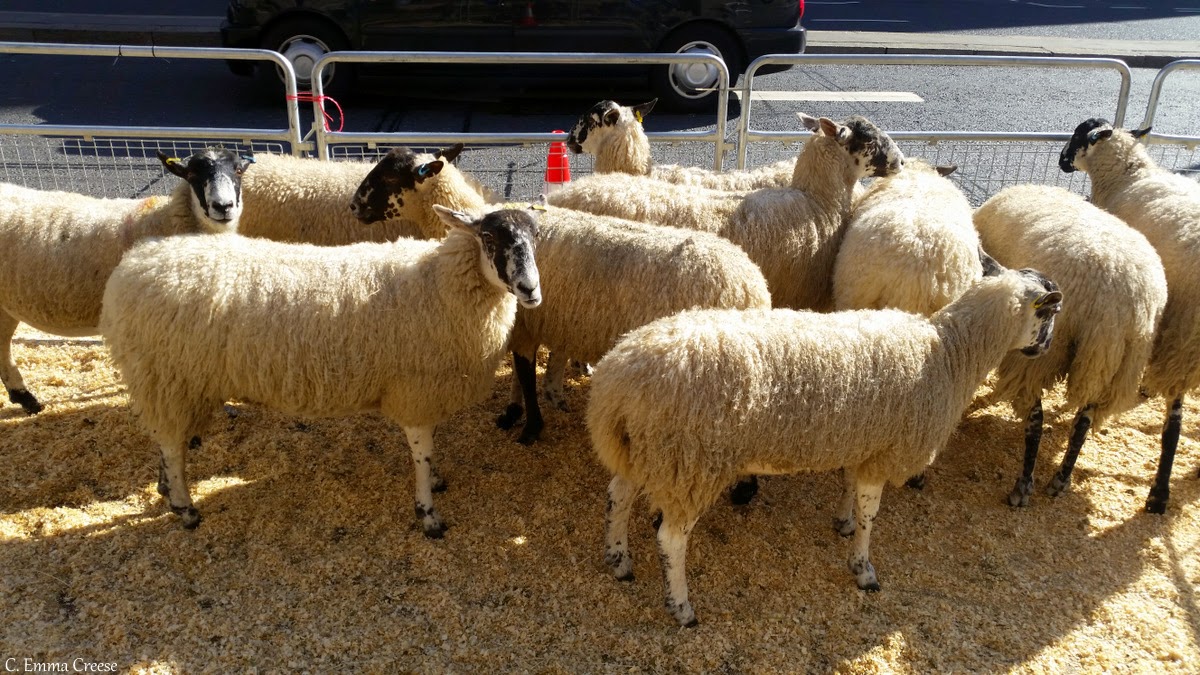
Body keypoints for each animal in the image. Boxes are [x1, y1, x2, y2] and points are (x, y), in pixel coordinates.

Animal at [98, 206, 542, 536]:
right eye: (489, 238)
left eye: (536, 239)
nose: (530, 290)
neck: (439, 283)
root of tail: (133, 263)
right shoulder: (413, 395)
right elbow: (423, 455)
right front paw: (428, 514)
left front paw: (433, 487)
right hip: (165, 375)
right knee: (172, 445)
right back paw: (186, 508)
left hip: (176, 382)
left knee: (166, 438)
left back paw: (166, 489)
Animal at [350, 146, 773, 445]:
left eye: (390, 176)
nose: (354, 206)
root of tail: (752, 285)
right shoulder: (527, 324)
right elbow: (521, 377)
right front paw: (513, 412)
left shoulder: (525, 327)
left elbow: (525, 377)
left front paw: (529, 427)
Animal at [587, 264, 1062, 626]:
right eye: (1049, 316)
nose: (1046, 349)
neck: (950, 352)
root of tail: (617, 379)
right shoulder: (885, 451)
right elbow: (872, 515)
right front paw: (864, 570)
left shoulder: (863, 441)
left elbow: (850, 488)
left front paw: (844, 522)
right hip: (692, 461)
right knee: (671, 539)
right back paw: (682, 607)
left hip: (644, 451)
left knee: (617, 497)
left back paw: (618, 561)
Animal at [974, 183, 1168, 509]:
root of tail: (1116, 302)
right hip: (1108, 362)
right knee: (1083, 421)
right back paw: (1061, 479)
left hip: (1044, 356)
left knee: (1036, 419)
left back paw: (1023, 485)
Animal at [1060, 117, 1200, 513]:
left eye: (1078, 136)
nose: (1061, 161)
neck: (1129, 175)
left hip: (1181, 340)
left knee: (1174, 423)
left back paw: (1158, 494)